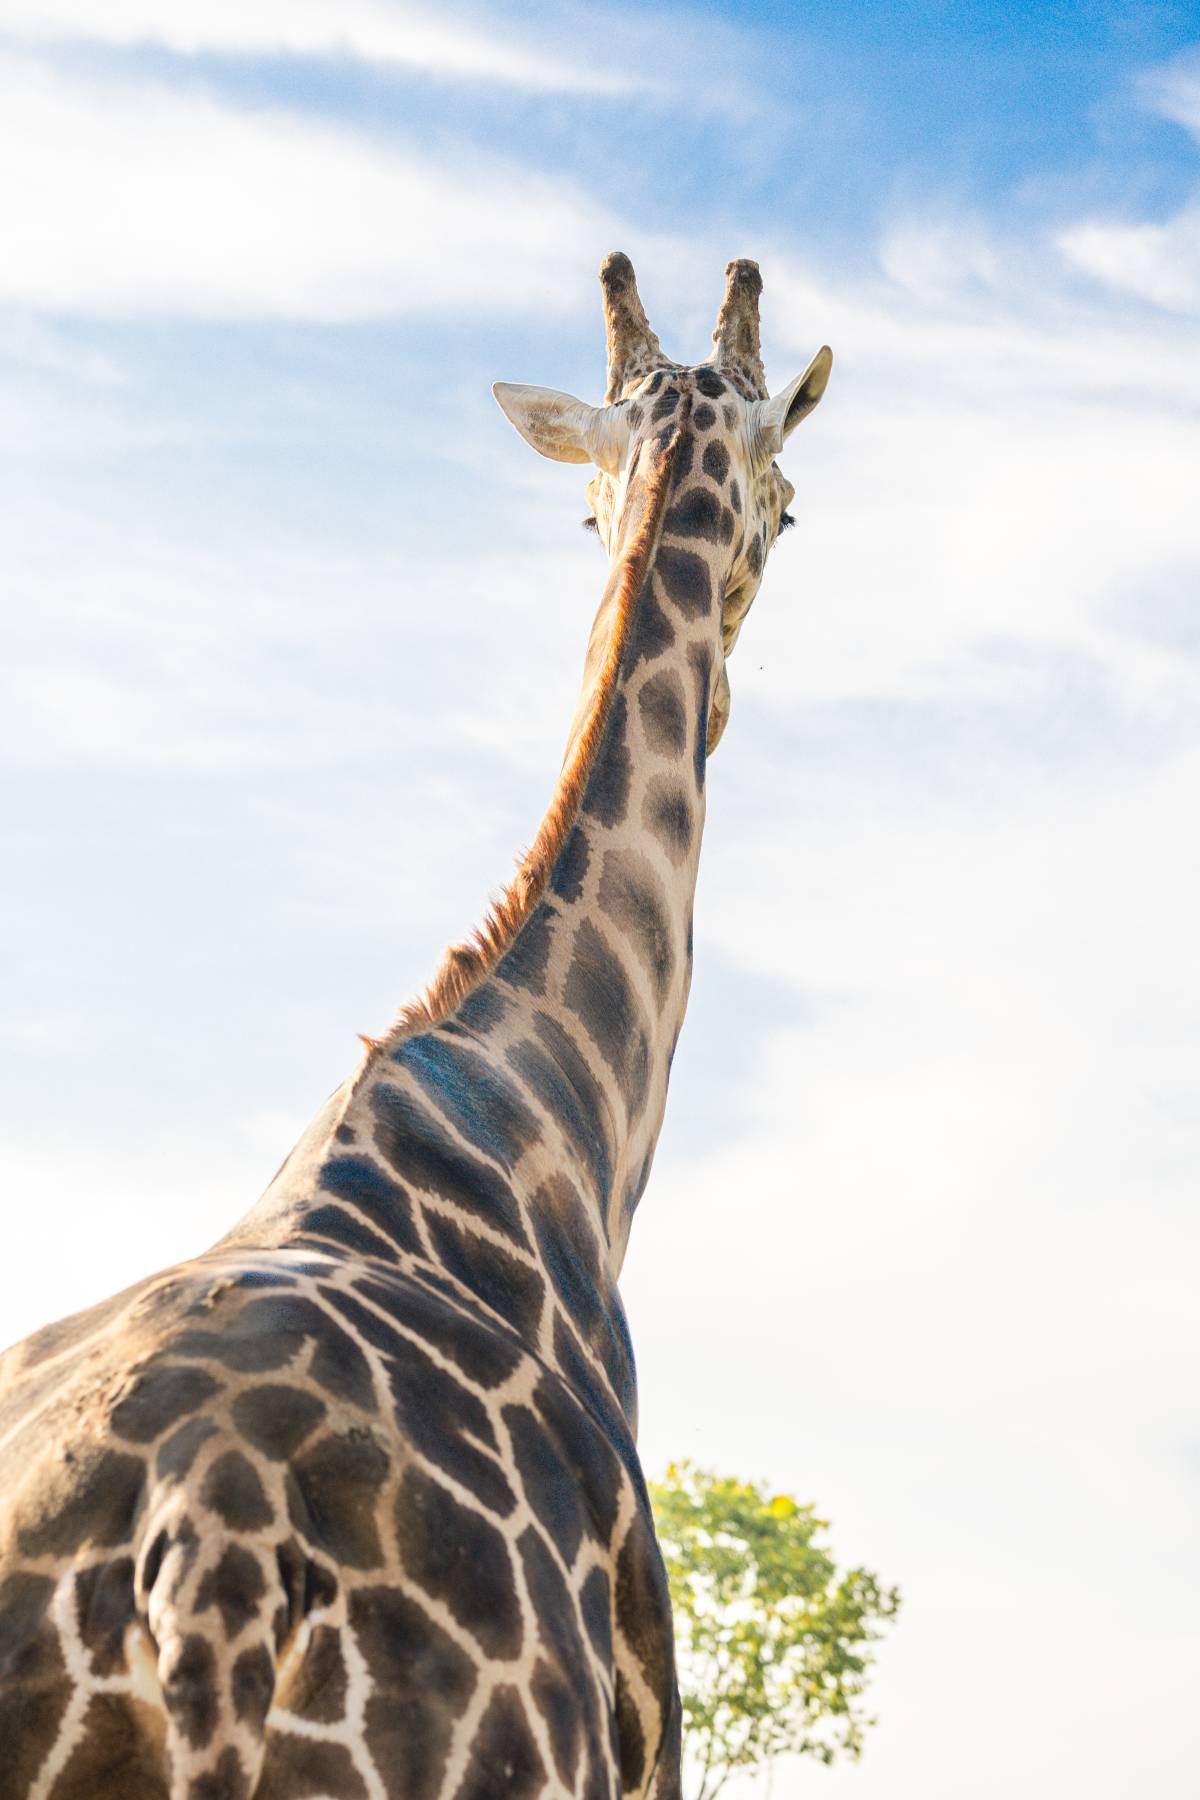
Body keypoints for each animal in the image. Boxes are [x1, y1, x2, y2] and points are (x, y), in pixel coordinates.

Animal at [0, 257, 831, 1800]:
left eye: (585, 509)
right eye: (790, 505)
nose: (730, 706)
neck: (556, 1124)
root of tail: (207, 1550)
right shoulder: (651, 1759)